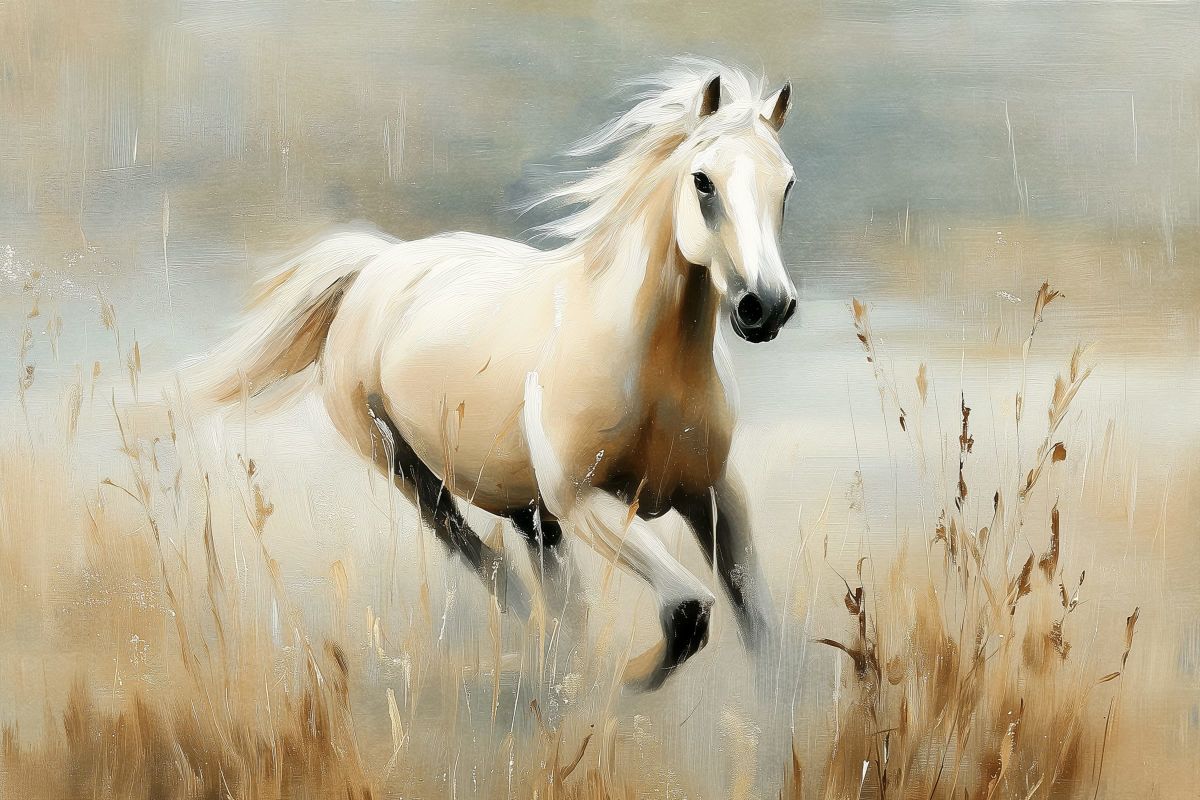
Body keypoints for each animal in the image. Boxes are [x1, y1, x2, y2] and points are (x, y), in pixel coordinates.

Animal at [193, 59, 798, 691]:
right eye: (703, 181)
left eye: (787, 184)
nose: (766, 306)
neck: (651, 367)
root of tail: (375, 264)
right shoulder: (581, 500)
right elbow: (687, 609)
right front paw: (629, 679)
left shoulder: (715, 495)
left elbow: (756, 622)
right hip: (407, 469)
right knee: (491, 566)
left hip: (528, 510)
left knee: (558, 597)